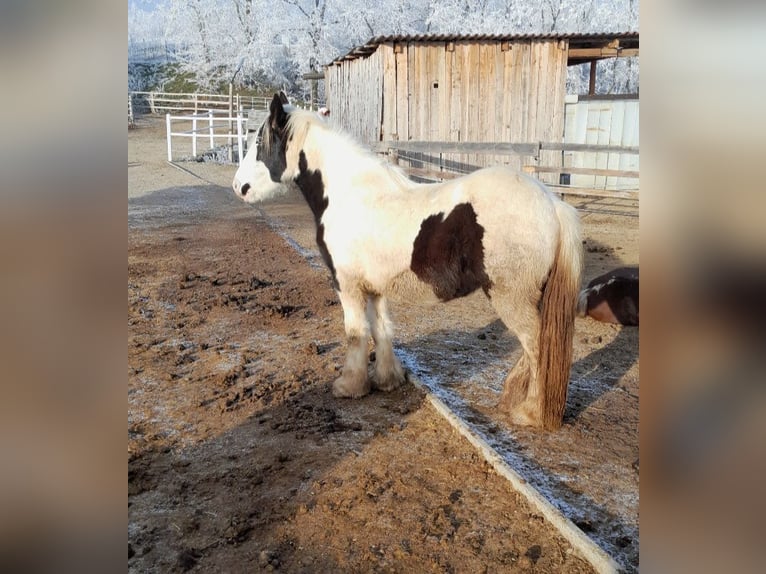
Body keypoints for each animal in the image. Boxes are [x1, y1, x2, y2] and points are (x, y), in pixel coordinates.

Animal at [231, 92, 584, 430]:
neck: (350, 194)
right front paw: (388, 380)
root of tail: (553, 204)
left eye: (260, 143)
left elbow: (356, 332)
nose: (238, 187)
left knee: (538, 347)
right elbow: (381, 328)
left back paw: (530, 412)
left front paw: (349, 386)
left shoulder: (348, 285)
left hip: (511, 297)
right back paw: (512, 396)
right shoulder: (375, 287)